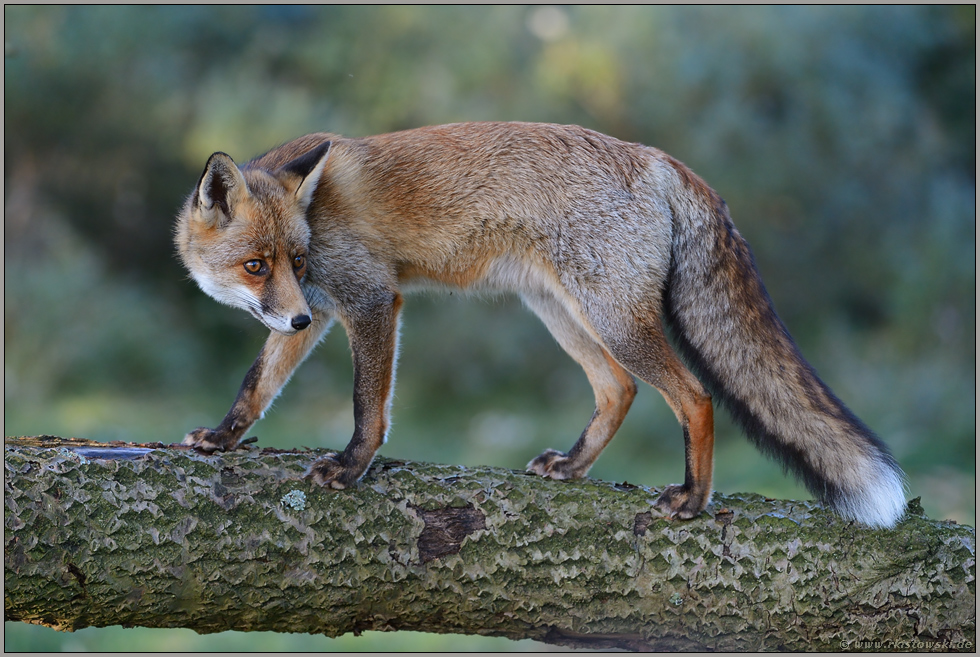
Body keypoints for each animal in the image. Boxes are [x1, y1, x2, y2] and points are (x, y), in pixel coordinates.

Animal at [176, 119, 912, 528]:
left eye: (295, 259)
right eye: (257, 265)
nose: (296, 310)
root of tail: (660, 159)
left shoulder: (370, 300)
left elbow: (368, 406)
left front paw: (352, 468)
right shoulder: (319, 312)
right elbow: (256, 384)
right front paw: (221, 437)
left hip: (613, 320)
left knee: (695, 396)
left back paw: (692, 500)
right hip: (562, 314)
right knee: (618, 389)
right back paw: (575, 465)